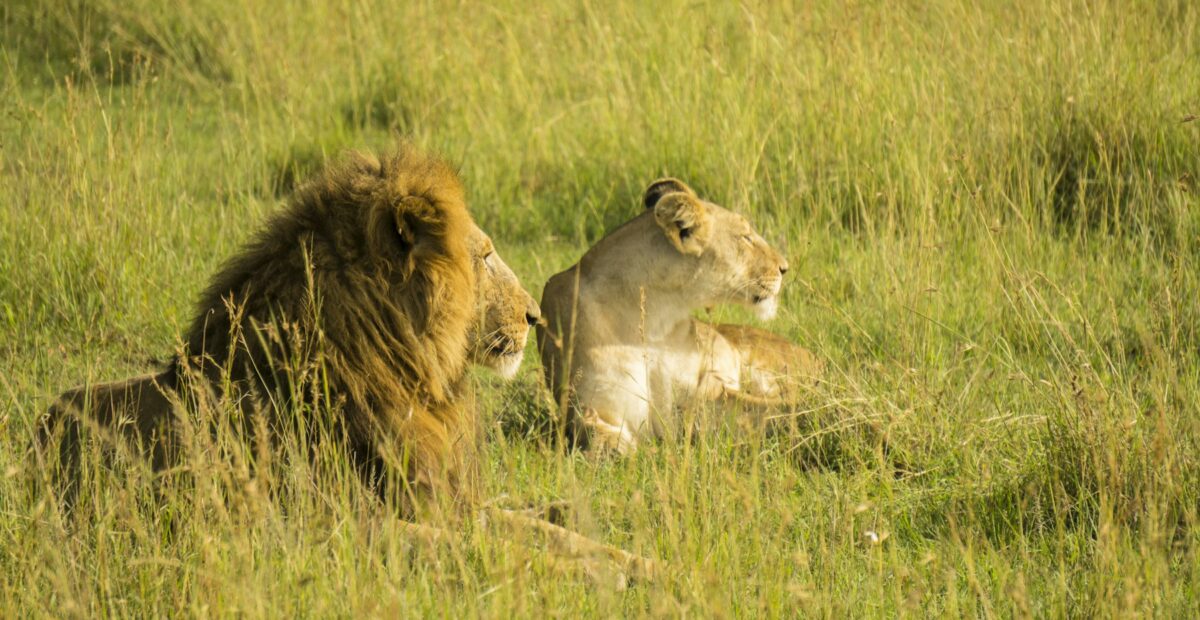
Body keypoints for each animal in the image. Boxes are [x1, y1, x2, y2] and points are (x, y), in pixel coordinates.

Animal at [537, 178, 822, 454]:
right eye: (745, 237)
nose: (784, 268)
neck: (653, 319)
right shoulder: (590, 407)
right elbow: (602, 440)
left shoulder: (705, 394)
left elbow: (783, 408)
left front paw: (822, 411)